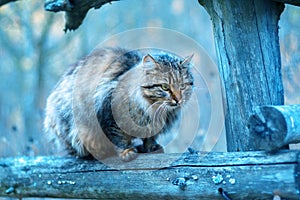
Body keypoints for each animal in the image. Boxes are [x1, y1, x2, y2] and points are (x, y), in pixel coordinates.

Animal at [44, 47, 195, 162]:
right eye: (165, 87)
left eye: (182, 86)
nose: (178, 99)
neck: (152, 109)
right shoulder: (108, 112)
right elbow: (118, 137)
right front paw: (126, 151)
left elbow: (150, 137)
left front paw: (150, 148)